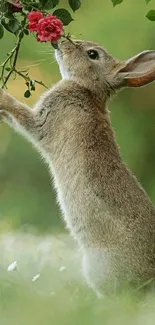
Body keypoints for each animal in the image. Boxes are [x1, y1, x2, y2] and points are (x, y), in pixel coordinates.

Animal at [0, 38, 155, 296]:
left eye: (93, 54)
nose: (60, 42)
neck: (87, 89)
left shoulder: (41, 120)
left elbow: (20, 114)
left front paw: (1, 96)